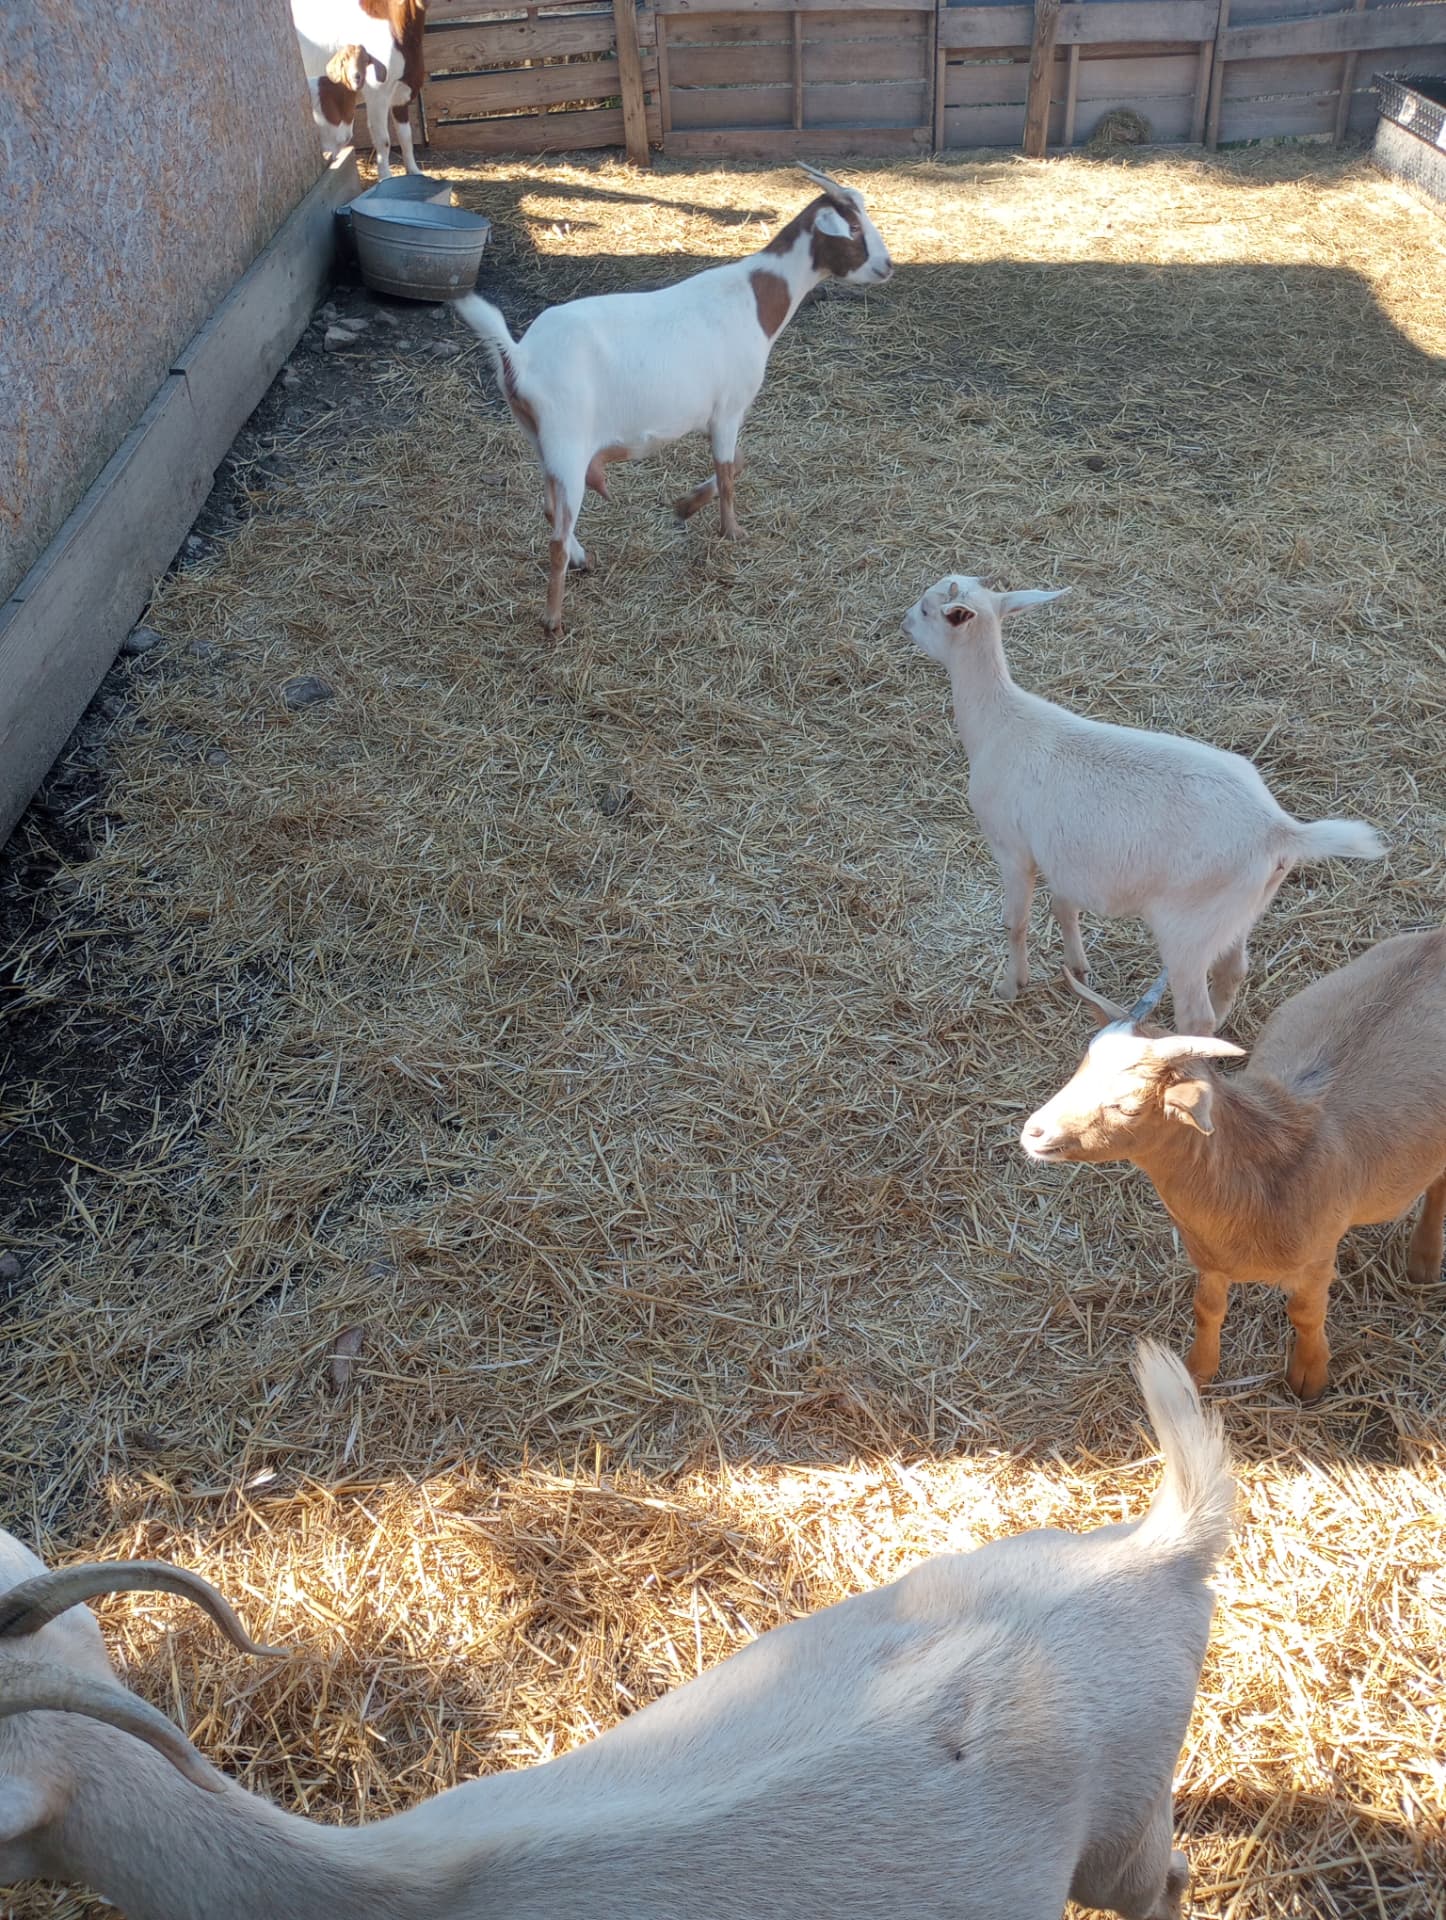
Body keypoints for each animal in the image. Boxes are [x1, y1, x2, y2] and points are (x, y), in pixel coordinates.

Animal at [292, 0, 426, 179]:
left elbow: (406, 136)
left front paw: (414, 172)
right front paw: (385, 178)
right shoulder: (377, 95)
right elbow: (383, 140)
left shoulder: (400, 95)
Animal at [454, 165, 893, 635]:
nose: (888, 266)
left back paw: (580, 558)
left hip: (542, 443)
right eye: (852, 227)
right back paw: (553, 618)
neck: (758, 298)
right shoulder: (728, 410)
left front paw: (684, 507)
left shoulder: (715, 416)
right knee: (555, 535)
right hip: (567, 444)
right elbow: (728, 474)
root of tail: (521, 356)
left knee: (550, 511)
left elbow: (737, 464)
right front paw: (732, 532)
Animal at [902, 575, 1385, 1033]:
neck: (998, 720)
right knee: (1233, 972)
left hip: (1188, 929)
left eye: (926, 609)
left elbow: (1014, 922)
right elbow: (1064, 908)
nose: (903, 620)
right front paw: (1077, 967)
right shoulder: (1063, 855)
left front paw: (1010, 986)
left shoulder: (1012, 849)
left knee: (1196, 1011)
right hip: (1238, 914)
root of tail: (1278, 829)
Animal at [1020, 932, 1446, 1399]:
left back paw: (1424, 1262)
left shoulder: (1318, 1257)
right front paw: (1197, 1372)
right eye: (1080, 1070)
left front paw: (1308, 1379)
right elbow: (1206, 1308)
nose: (1033, 1132)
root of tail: (1436, 939)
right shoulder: (1210, 1259)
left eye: (1128, 1106)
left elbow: (1306, 1314)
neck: (1260, 1171)